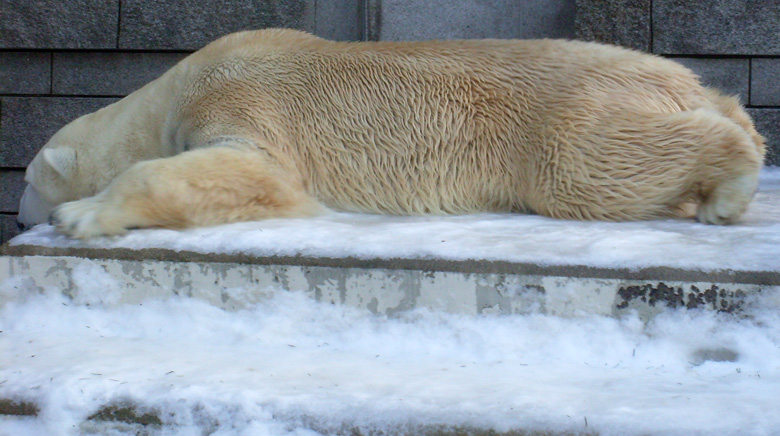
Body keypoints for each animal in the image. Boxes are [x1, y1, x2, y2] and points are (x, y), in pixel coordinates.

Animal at [15, 28, 764, 238]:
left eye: (23, 181)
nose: (21, 217)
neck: (170, 94)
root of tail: (679, 80)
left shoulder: (241, 97)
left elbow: (257, 174)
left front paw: (82, 215)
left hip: (563, 120)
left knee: (592, 167)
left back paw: (728, 191)